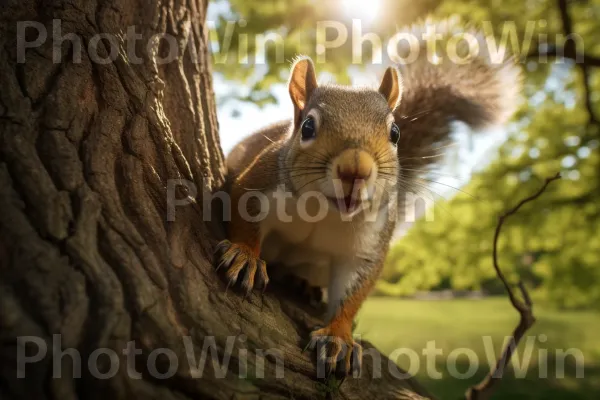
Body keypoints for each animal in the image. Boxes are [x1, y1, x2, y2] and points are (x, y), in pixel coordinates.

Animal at [214, 28, 520, 378]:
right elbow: (244, 220)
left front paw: (338, 337)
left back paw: (303, 285)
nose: (355, 169)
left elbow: (352, 292)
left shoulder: (367, 243)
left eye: (396, 132)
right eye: (307, 126)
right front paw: (246, 256)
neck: (324, 210)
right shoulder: (257, 185)